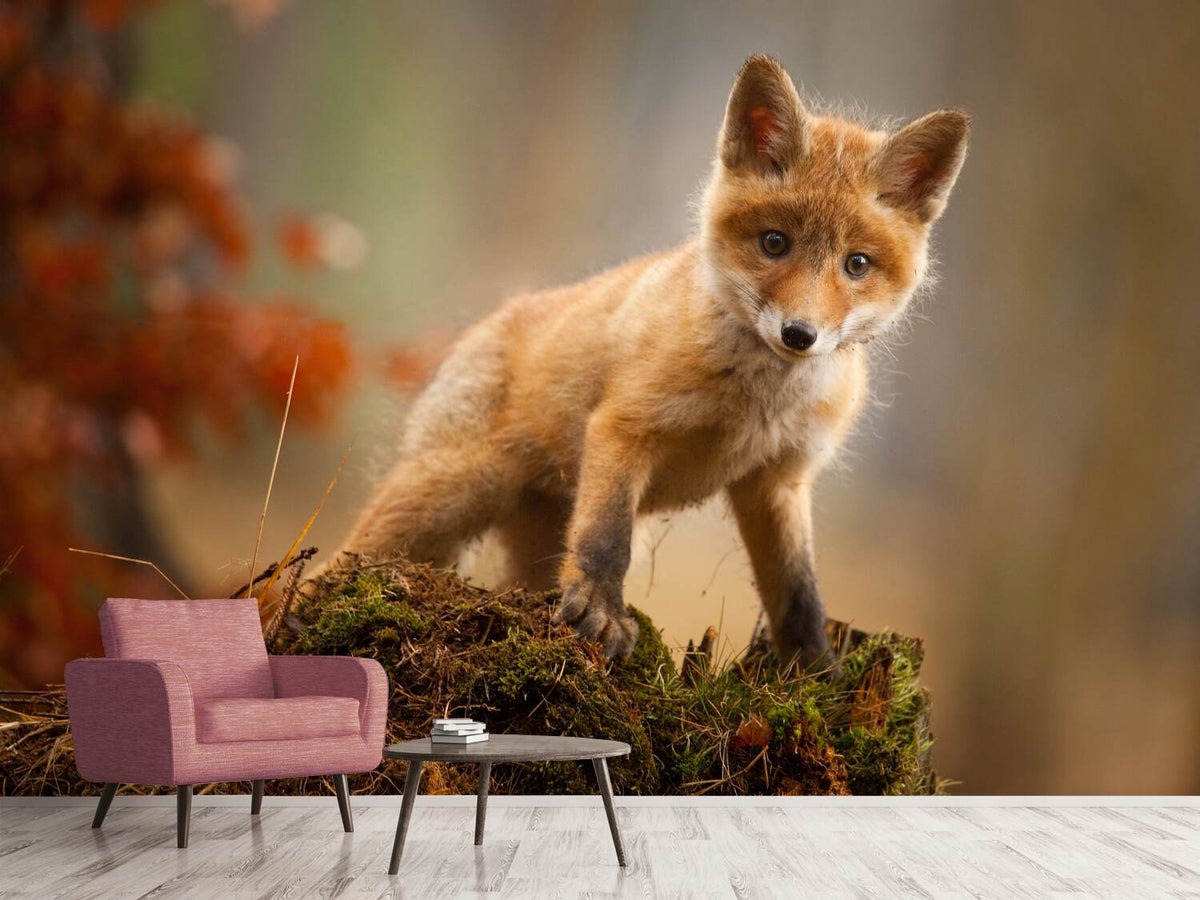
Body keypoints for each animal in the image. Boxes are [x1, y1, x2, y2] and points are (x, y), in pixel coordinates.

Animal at [311, 55, 969, 668]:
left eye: (856, 264)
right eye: (774, 243)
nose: (799, 334)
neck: (756, 403)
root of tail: (489, 322)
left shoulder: (778, 479)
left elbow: (798, 593)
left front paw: (815, 674)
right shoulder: (625, 428)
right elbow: (607, 540)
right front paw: (601, 615)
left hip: (528, 538)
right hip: (447, 494)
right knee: (338, 562)